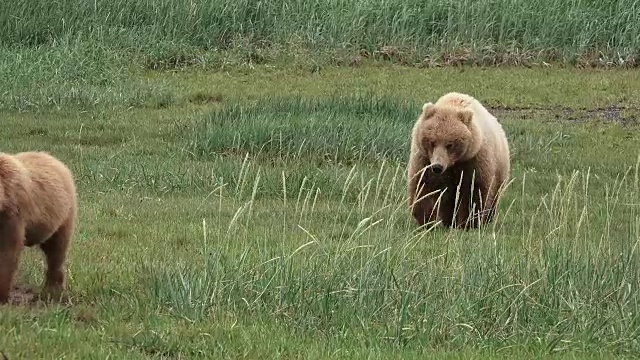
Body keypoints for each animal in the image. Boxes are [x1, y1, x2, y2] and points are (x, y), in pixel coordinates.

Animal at [410, 91, 510, 229]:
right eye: (432, 142)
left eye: (450, 144)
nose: (438, 167)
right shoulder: (424, 160)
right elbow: (422, 187)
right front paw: (426, 221)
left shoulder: (474, 161)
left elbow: (474, 192)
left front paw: (468, 223)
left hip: (499, 171)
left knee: (493, 196)